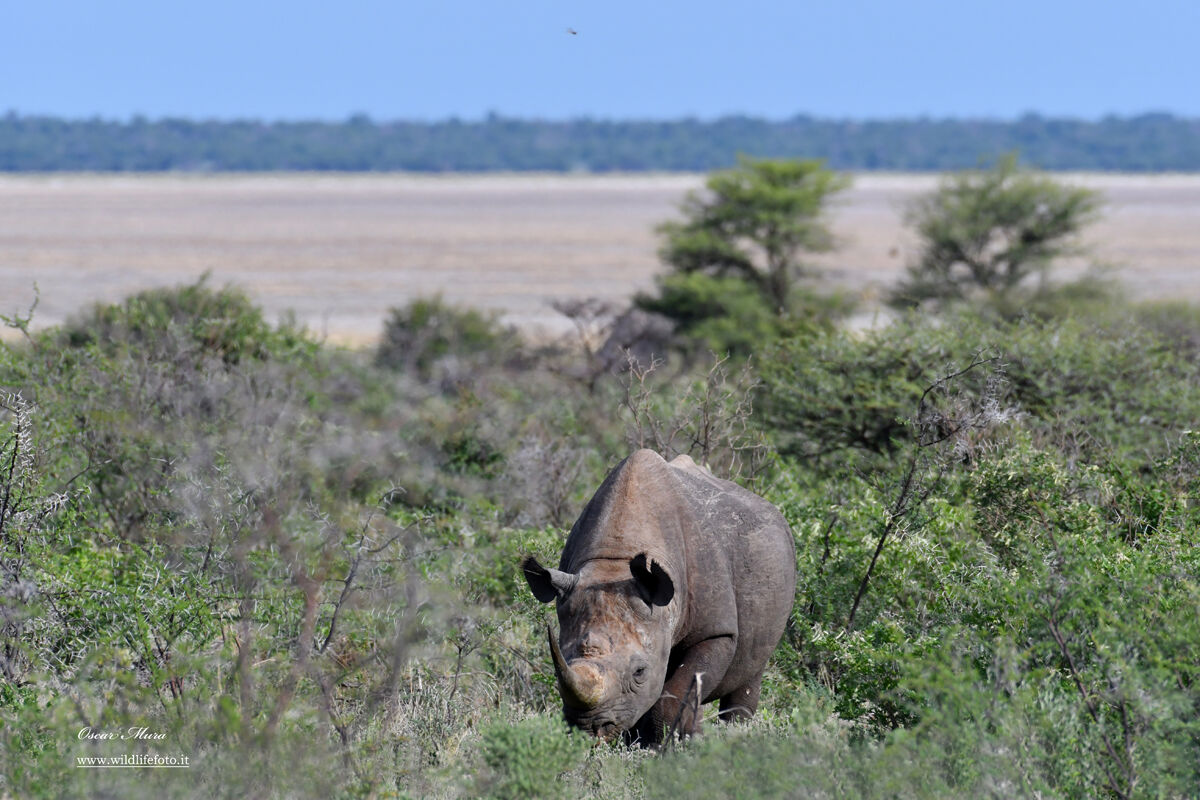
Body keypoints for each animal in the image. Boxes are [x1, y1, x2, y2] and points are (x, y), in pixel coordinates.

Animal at [522, 449, 796, 744]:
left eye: (640, 672)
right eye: (559, 661)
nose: (589, 729)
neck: (615, 560)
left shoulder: (716, 632)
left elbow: (675, 692)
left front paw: (658, 745)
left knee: (748, 675)